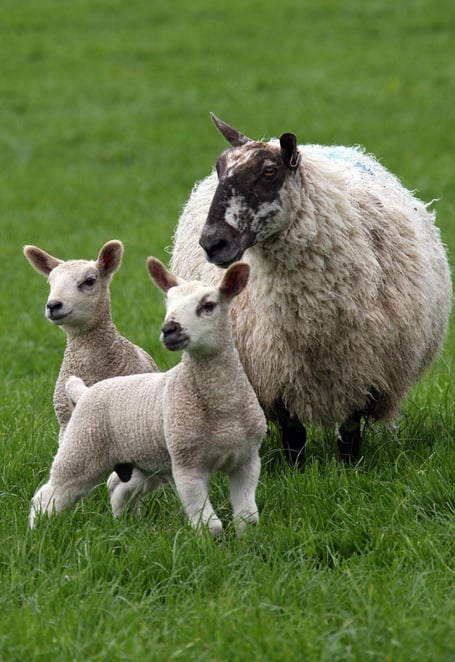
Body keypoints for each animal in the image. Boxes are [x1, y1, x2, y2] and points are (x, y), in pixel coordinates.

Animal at [29, 258, 267, 537]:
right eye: (168, 303)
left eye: (208, 305)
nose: (169, 329)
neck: (223, 408)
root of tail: (85, 391)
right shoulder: (187, 465)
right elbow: (211, 526)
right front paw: (211, 544)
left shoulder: (247, 461)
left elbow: (247, 519)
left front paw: (247, 543)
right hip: (80, 450)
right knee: (48, 495)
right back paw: (36, 532)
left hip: (145, 462)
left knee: (119, 489)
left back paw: (124, 524)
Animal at [170, 113, 452, 465]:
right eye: (220, 169)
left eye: (269, 171)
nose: (212, 242)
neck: (309, 318)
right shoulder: (274, 372)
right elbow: (293, 433)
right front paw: (297, 469)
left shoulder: (362, 370)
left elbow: (349, 432)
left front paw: (349, 469)